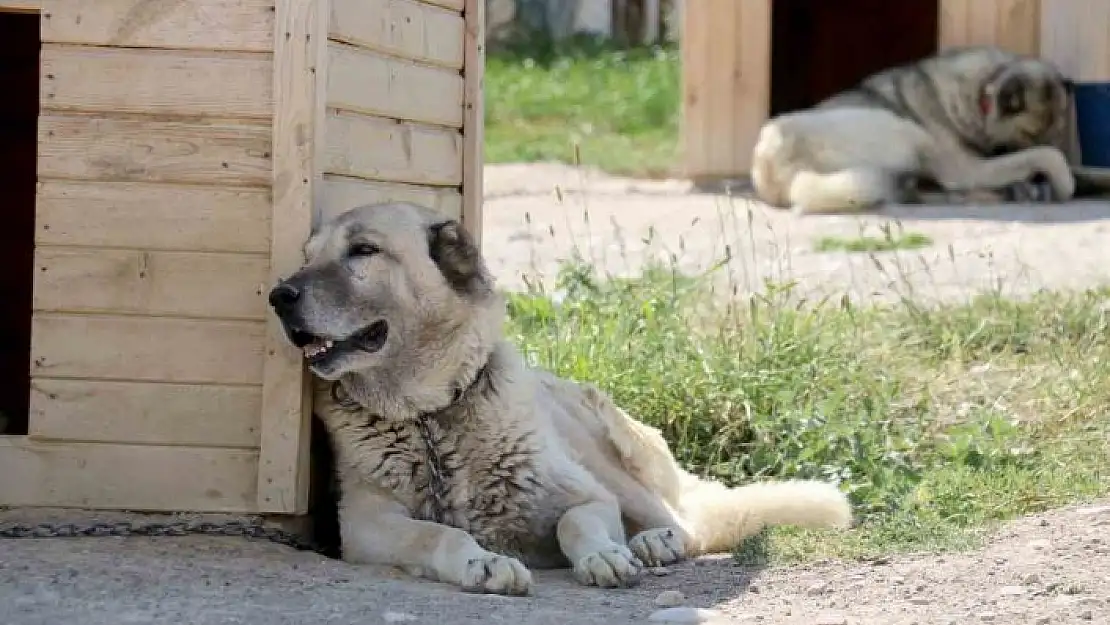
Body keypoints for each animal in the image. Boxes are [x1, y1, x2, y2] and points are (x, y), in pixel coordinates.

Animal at [266, 204, 848, 595]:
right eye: (308, 257)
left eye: (364, 250)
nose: (279, 296)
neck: (431, 419)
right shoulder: (365, 526)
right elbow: (435, 535)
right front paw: (482, 564)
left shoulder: (589, 497)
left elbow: (576, 522)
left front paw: (604, 556)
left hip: (610, 456)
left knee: (689, 524)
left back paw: (653, 543)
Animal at [750, 45, 1105, 214]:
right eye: (1029, 135)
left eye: (1057, 130)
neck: (981, 91)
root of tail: (778, 171)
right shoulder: (972, 166)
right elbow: (1049, 157)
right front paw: (1064, 183)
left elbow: (1078, 164)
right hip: (911, 135)